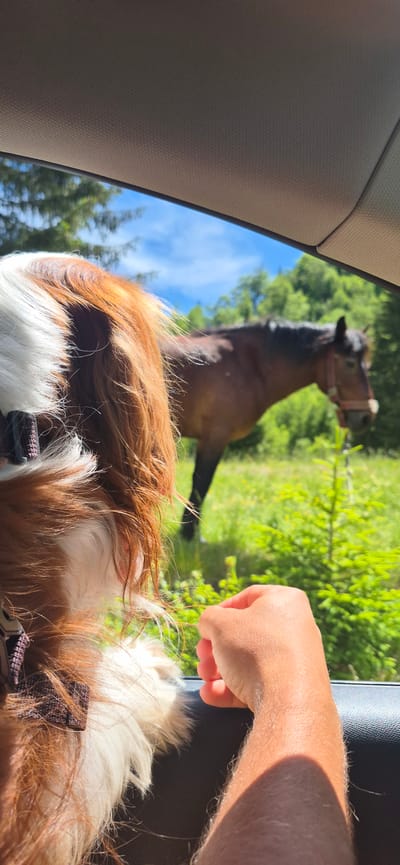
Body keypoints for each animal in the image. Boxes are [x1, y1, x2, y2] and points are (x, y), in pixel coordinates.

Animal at [163, 315, 378, 540]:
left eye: (368, 364)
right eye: (350, 363)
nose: (367, 415)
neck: (248, 364)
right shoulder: (214, 437)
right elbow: (201, 483)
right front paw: (190, 533)